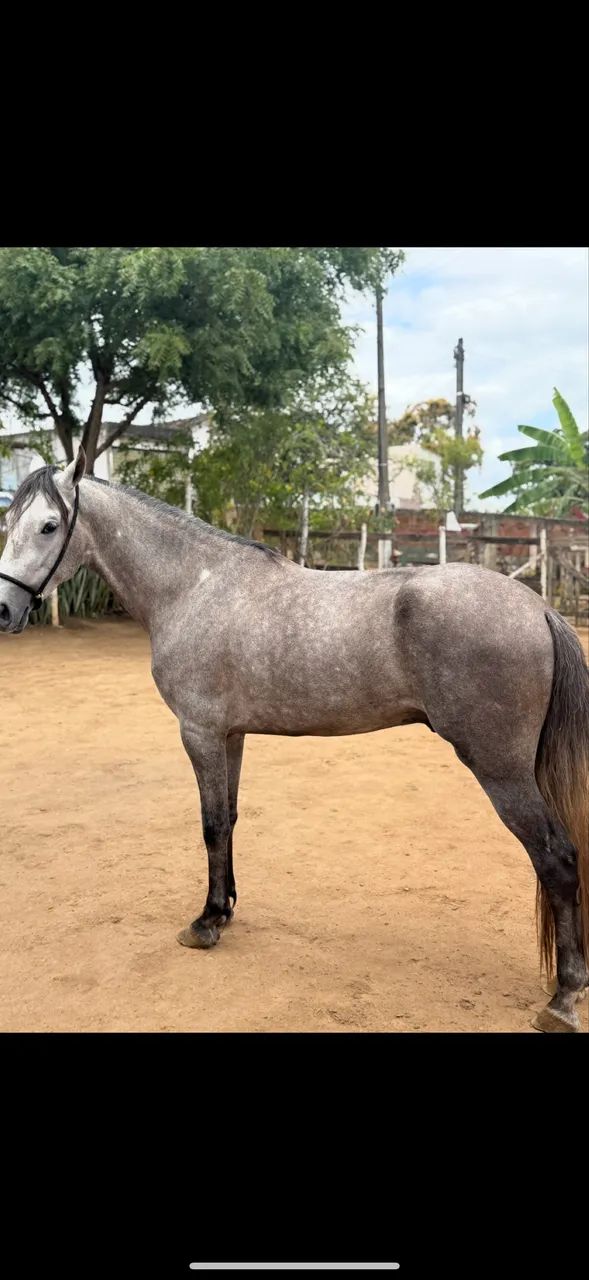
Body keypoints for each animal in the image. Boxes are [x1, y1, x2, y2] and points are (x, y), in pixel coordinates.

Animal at [1, 447, 587, 1032]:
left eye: (48, 525)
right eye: (10, 522)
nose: (4, 611)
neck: (194, 588)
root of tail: (538, 607)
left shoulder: (200, 733)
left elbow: (211, 826)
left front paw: (205, 923)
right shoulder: (231, 735)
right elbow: (229, 820)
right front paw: (226, 907)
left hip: (500, 769)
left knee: (556, 858)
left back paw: (563, 997)